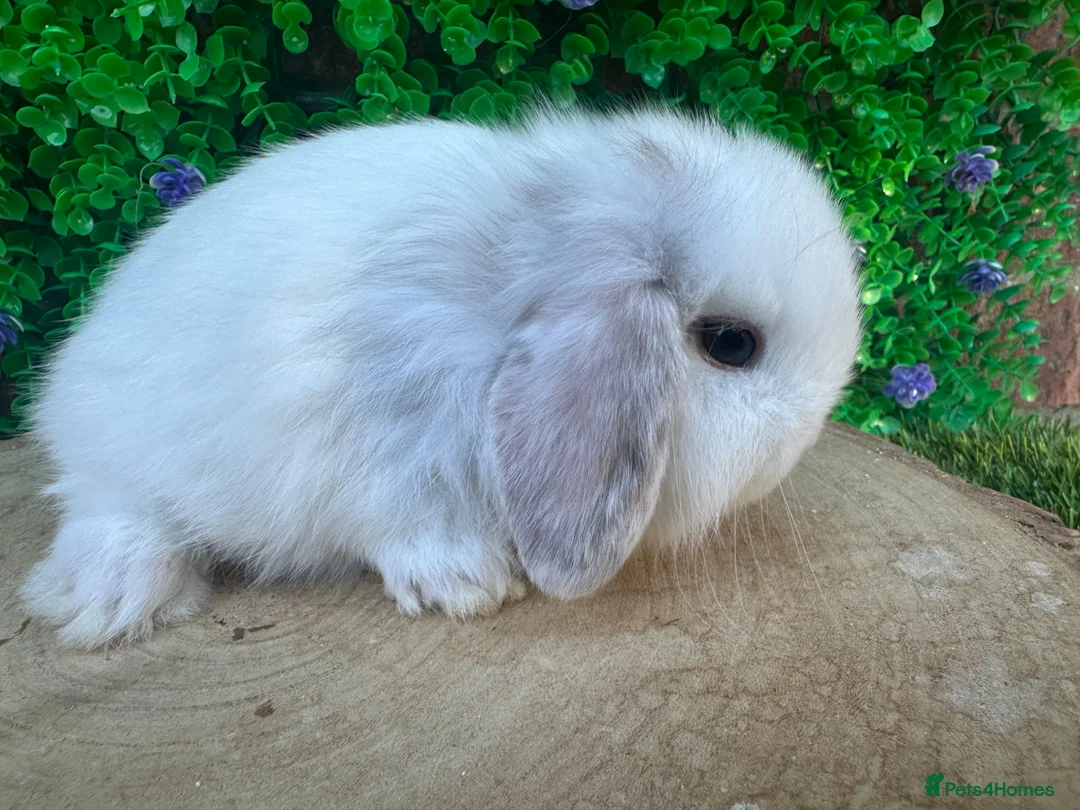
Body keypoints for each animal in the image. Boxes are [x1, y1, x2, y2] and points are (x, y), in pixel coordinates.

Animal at [20, 104, 863, 647]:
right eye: (730, 343)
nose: (804, 441)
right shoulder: (382, 452)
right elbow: (401, 521)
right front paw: (469, 585)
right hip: (120, 456)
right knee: (111, 512)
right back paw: (115, 600)